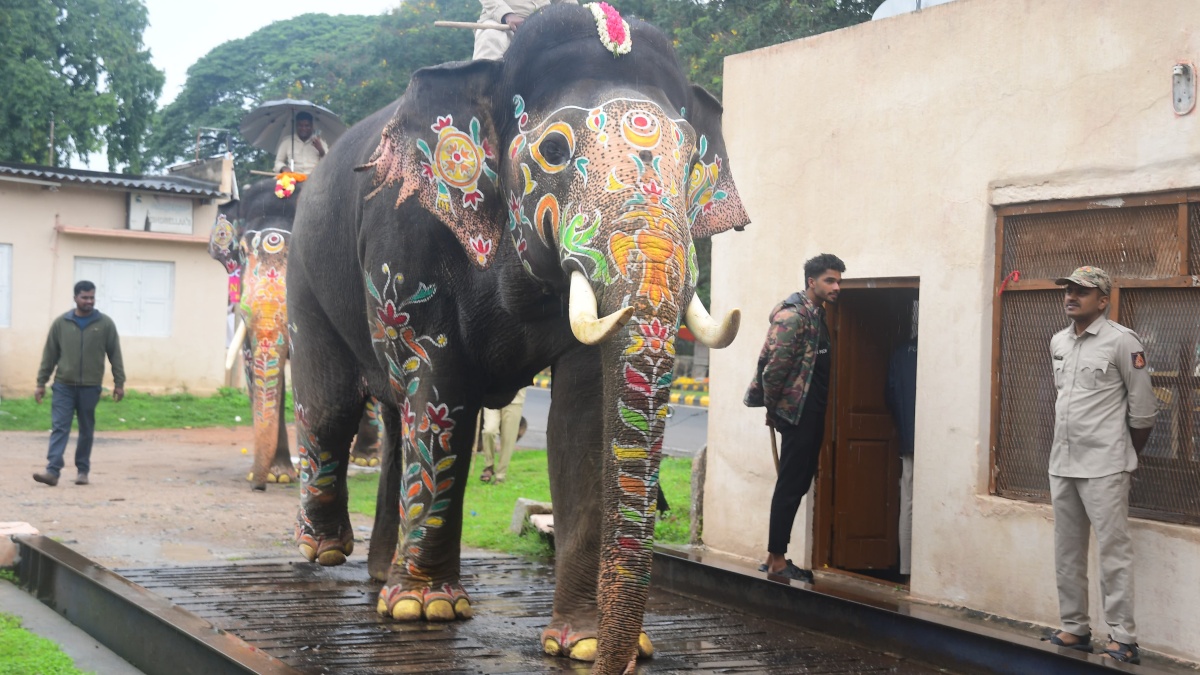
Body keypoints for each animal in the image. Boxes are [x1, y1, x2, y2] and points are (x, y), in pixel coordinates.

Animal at [286, 5, 747, 673]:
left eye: (691, 165)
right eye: (553, 150)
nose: (629, 658)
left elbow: (583, 416)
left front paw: (583, 642)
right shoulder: (407, 237)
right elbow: (442, 387)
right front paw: (425, 609)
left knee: (396, 413)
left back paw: (378, 577)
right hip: (304, 269)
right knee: (334, 405)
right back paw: (326, 551)